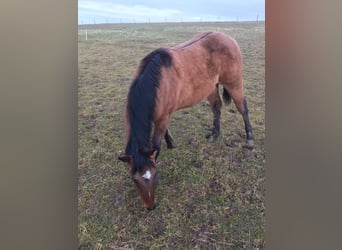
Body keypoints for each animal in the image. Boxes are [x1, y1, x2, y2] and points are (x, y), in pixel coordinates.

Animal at [117, 31, 254, 211]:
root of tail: (228, 38)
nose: (150, 206)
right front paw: (171, 143)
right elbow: (164, 133)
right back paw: (215, 134)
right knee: (216, 107)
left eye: (154, 175)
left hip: (234, 82)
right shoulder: (162, 115)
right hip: (211, 87)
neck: (156, 80)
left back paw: (249, 137)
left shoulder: (162, 117)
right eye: (134, 179)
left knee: (242, 108)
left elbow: (156, 144)